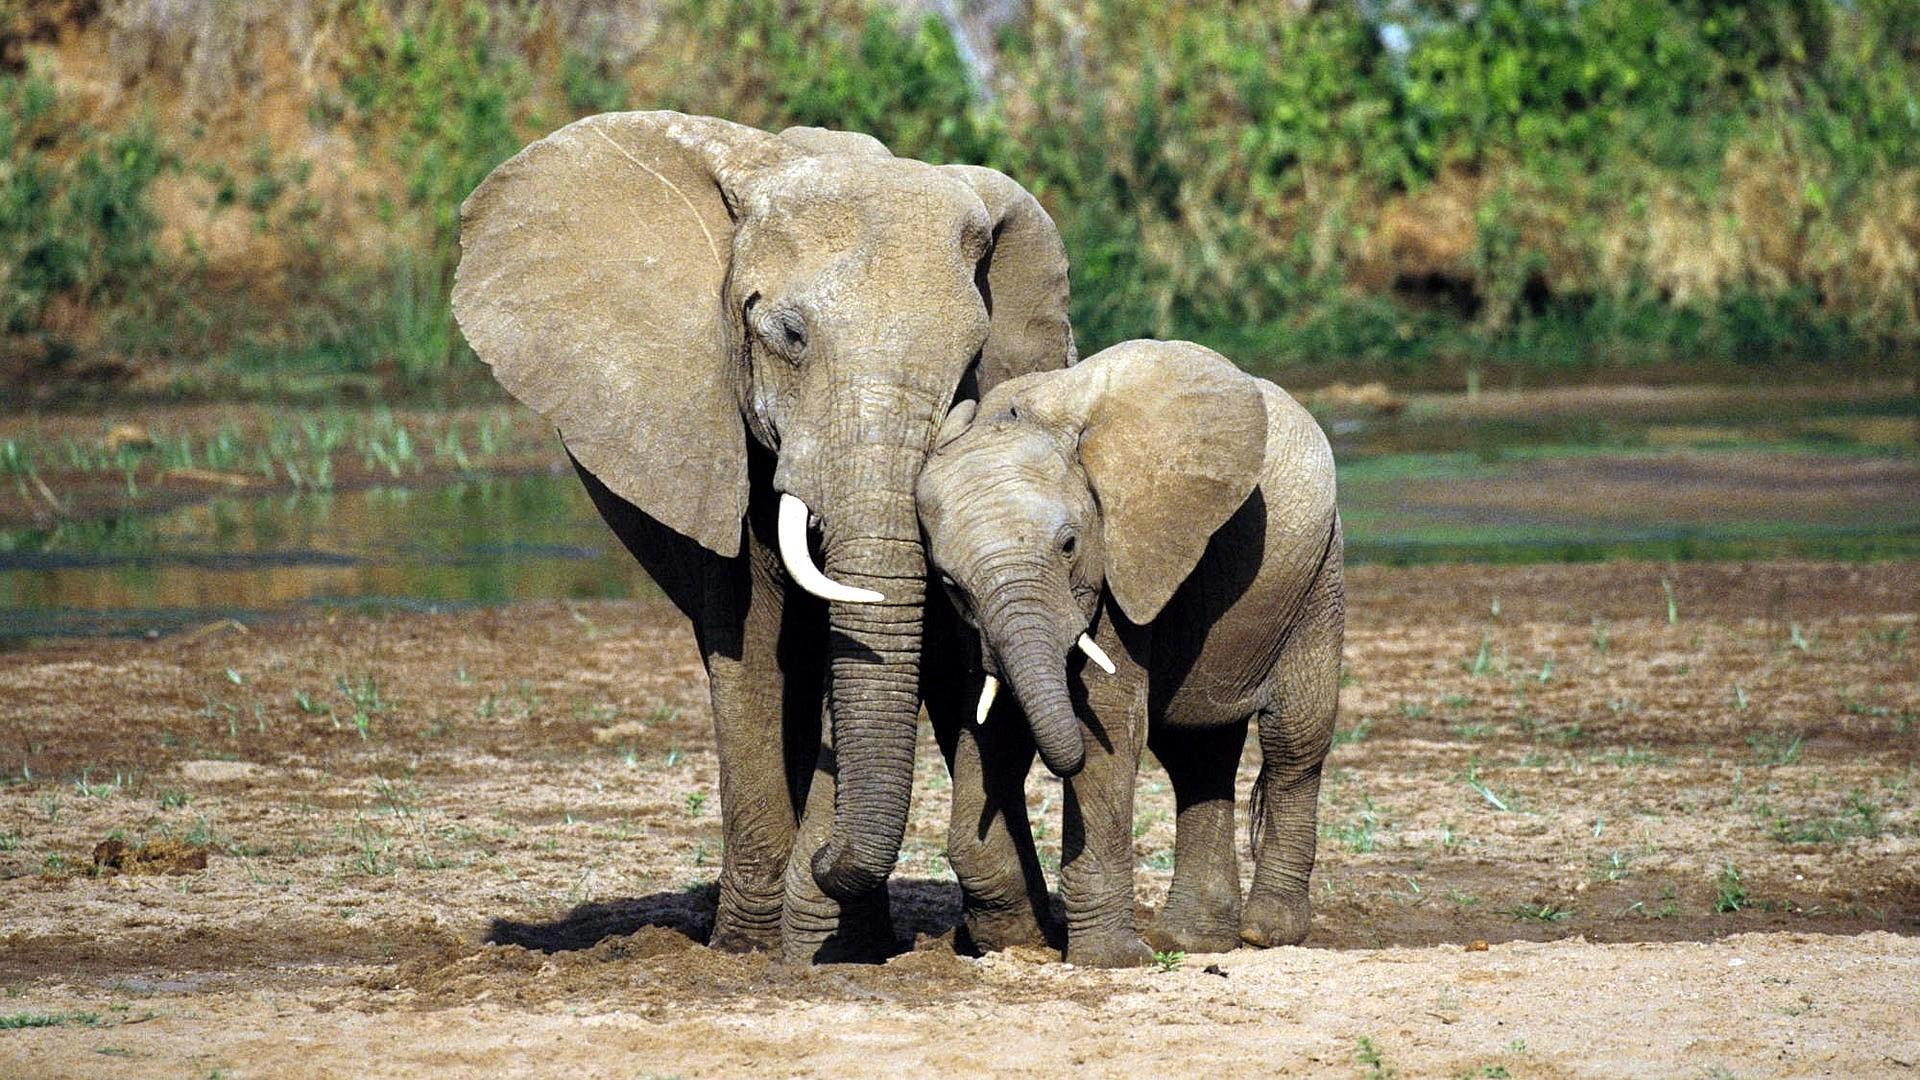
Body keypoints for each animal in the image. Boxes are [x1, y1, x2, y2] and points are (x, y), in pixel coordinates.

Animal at [452, 111, 1075, 962]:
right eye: (789, 335)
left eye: (971, 361)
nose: (826, 857)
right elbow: (747, 639)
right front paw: (751, 948)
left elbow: (938, 643)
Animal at [915, 339, 1345, 967]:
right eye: (948, 582)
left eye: (1069, 545)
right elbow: (992, 725)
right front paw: (1012, 942)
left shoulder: (1122, 564)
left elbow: (1107, 728)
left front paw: (1110, 960)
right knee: (1197, 756)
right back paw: (1193, 942)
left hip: (1317, 578)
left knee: (1295, 741)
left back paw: (1264, 934)